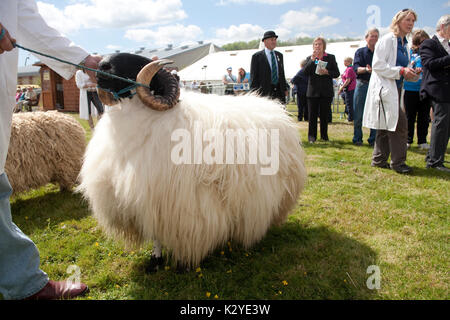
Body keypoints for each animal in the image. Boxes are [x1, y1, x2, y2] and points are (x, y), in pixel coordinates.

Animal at [77, 53, 308, 272]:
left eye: (135, 64)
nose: (101, 66)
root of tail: (273, 106)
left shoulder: (178, 204)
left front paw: (182, 265)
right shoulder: (150, 202)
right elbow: (155, 236)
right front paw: (155, 261)